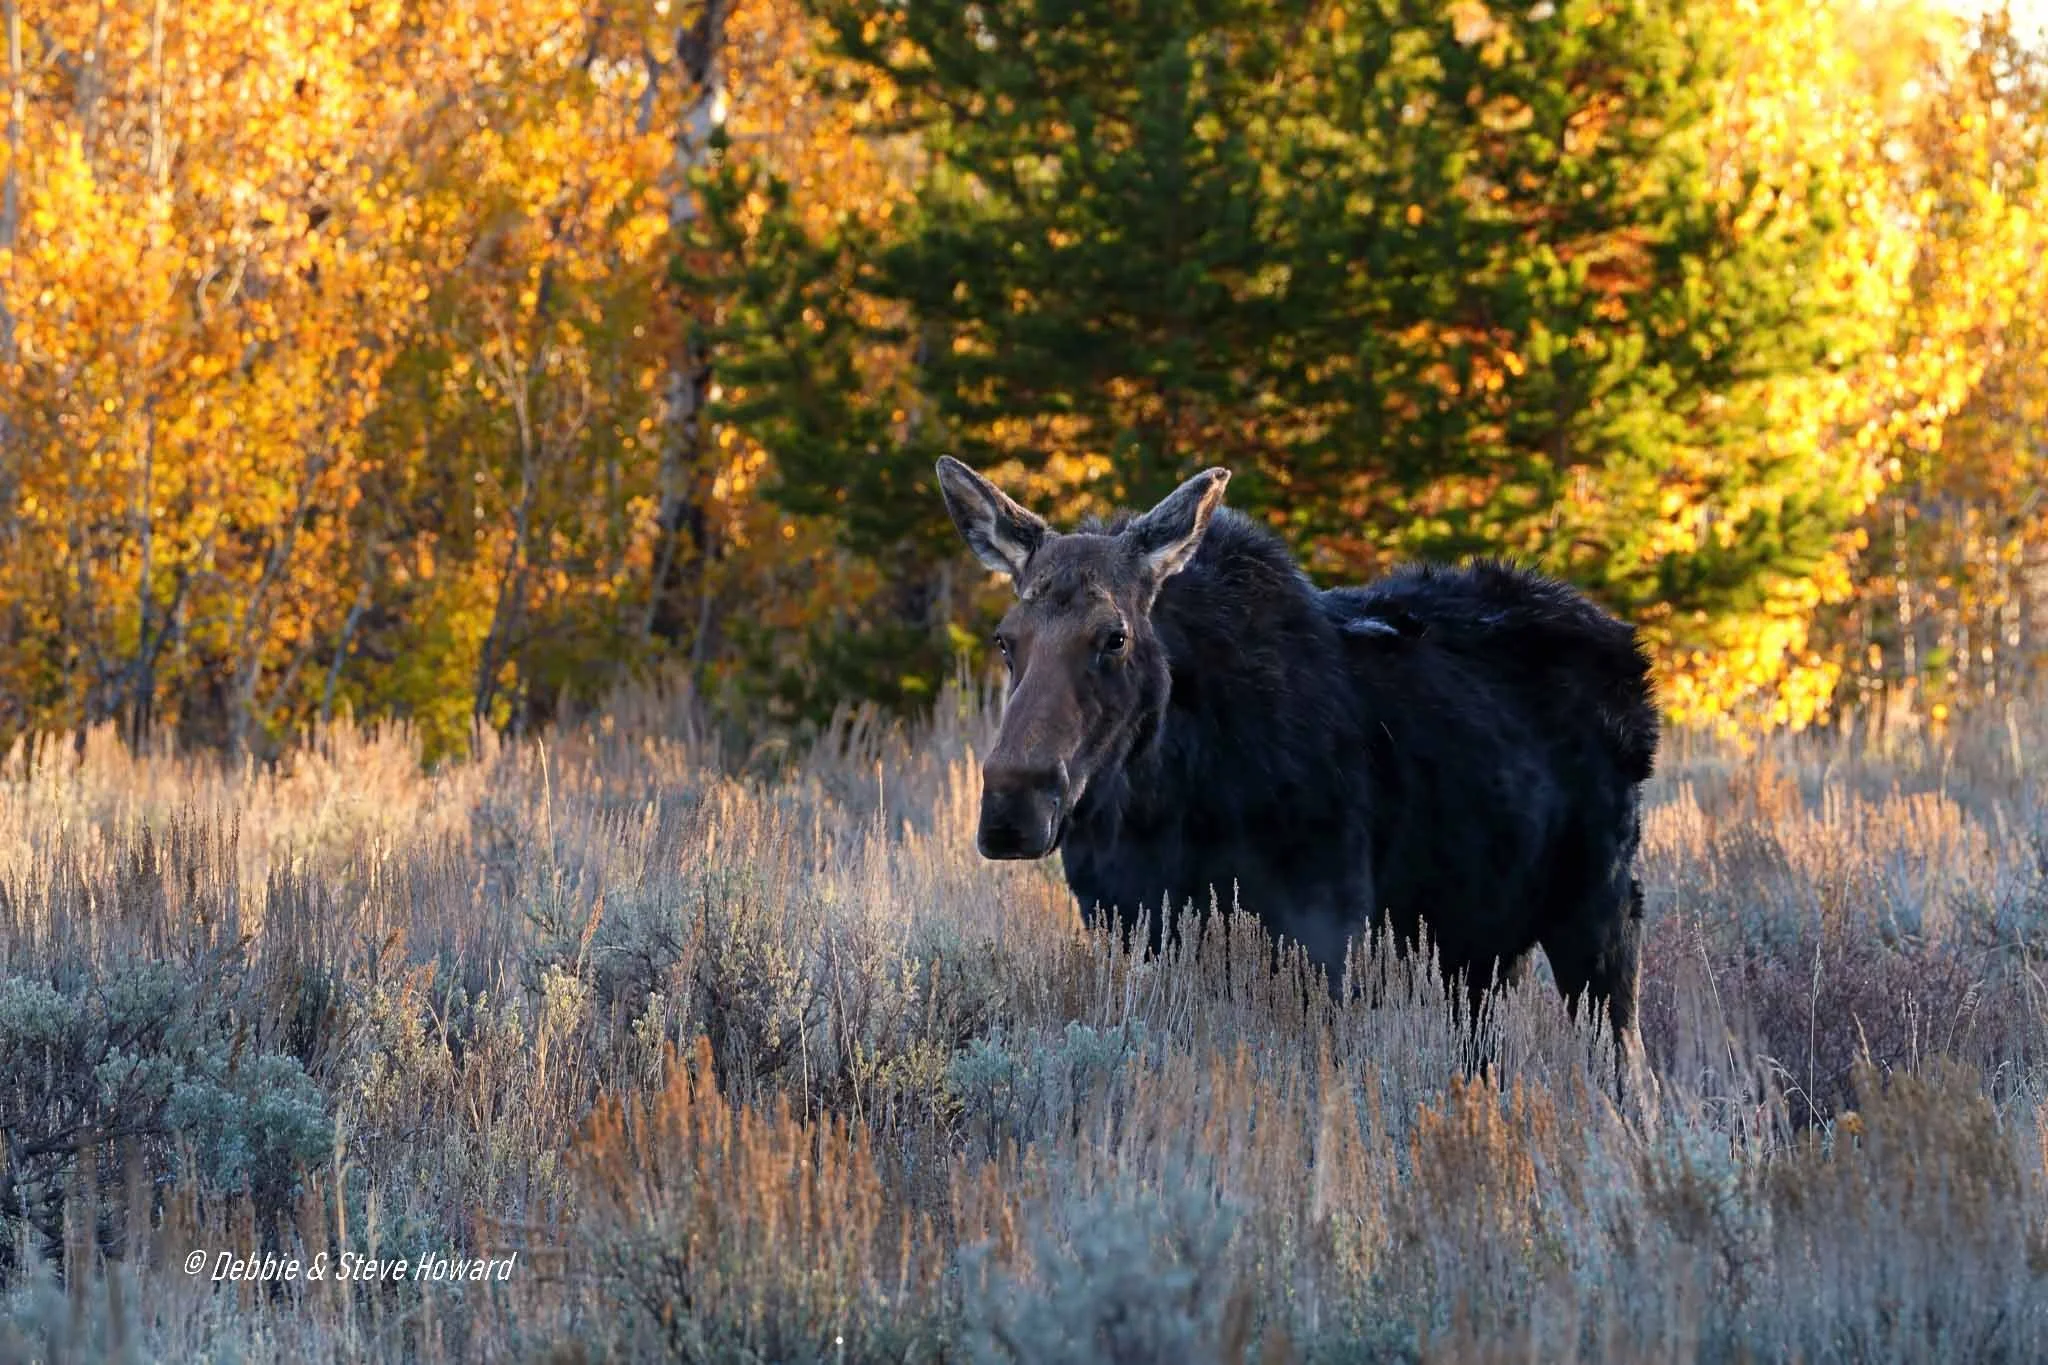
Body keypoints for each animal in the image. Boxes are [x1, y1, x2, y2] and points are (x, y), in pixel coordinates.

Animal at [935, 455, 1661, 1044]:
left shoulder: (1325, 933)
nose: (1012, 807)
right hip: (1477, 947)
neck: (1161, 806)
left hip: (1599, 913)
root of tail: (1630, 655)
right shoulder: (1139, 929)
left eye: (1114, 636)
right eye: (1006, 638)